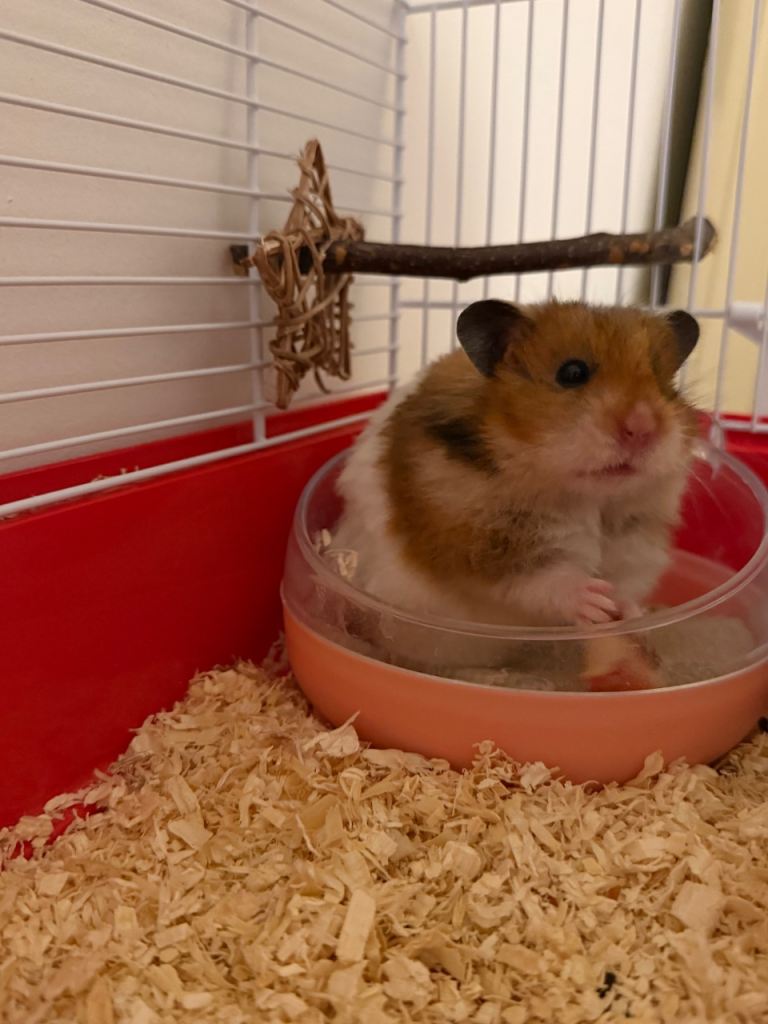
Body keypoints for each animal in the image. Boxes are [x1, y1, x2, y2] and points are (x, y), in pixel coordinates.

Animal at [333, 299, 699, 634]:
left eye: (664, 384)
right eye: (572, 373)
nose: (643, 428)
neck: (586, 496)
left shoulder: (633, 541)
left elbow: (623, 585)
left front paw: (629, 613)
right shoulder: (473, 537)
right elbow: (537, 578)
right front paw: (594, 600)